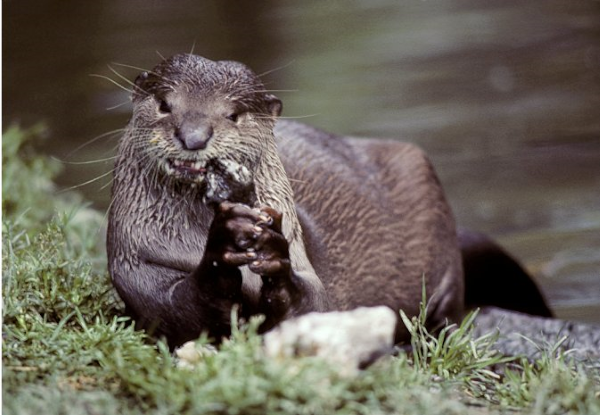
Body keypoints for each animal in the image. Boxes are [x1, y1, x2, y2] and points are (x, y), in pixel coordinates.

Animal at [106, 54, 548, 348]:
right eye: (165, 104)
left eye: (232, 114)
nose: (193, 136)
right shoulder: (136, 265)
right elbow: (176, 309)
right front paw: (222, 245)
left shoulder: (310, 270)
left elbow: (314, 307)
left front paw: (272, 251)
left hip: (422, 183)